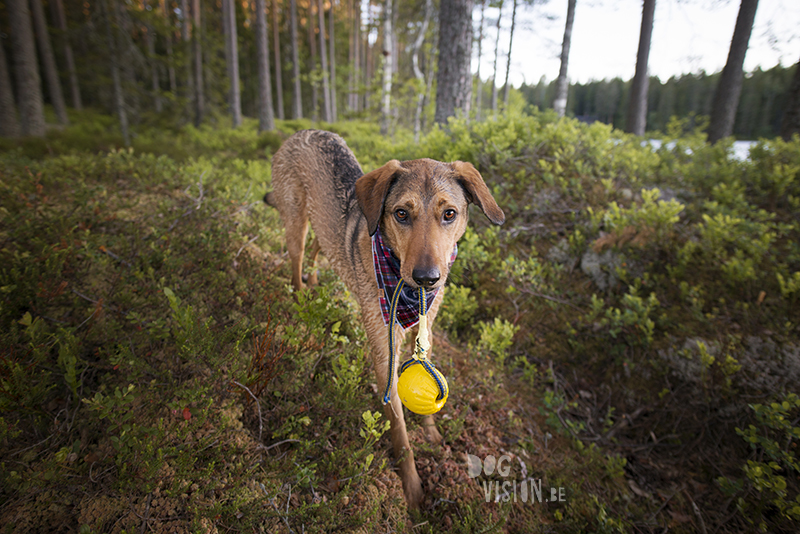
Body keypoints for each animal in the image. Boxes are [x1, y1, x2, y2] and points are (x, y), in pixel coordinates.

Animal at [266, 130, 504, 510]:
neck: (410, 296)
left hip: (320, 226)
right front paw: (413, 488)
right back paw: (302, 298)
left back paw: (316, 283)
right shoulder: (384, 354)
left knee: (321, 249)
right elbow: (400, 433)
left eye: (449, 214)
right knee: (297, 259)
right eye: (401, 213)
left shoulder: (425, 337)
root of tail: (302, 132)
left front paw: (432, 434)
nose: (427, 278)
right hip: (295, 222)